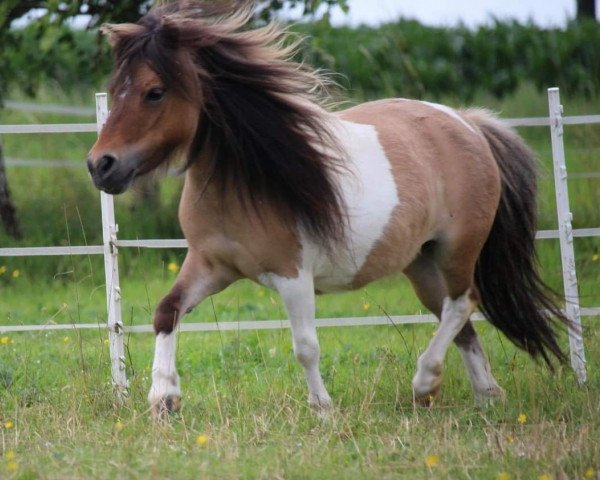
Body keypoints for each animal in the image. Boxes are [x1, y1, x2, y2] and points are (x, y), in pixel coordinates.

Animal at [86, 1, 568, 418]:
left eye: (154, 92)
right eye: (113, 91)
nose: (100, 165)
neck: (246, 182)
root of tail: (469, 124)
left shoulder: (293, 276)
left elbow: (305, 346)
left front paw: (322, 409)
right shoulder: (211, 266)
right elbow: (166, 312)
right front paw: (164, 399)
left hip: (457, 249)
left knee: (463, 302)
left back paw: (425, 384)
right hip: (421, 262)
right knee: (459, 317)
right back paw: (485, 395)